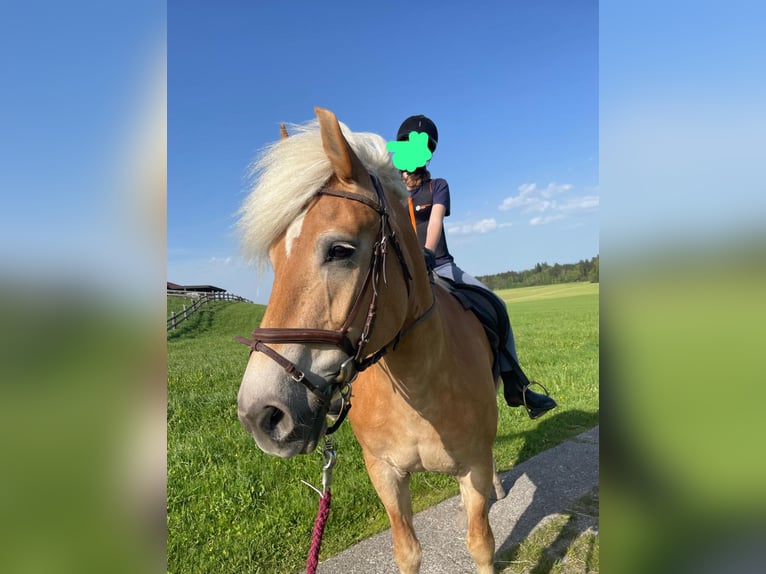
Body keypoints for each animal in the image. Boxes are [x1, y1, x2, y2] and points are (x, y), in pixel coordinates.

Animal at [237, 109, 508, 574]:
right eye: (274, 258)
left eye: (340, 250)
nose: (260, 415)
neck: (418, 385)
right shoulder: (384, 472)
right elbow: (407, 551)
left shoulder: (472, 465)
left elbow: (480, 544)